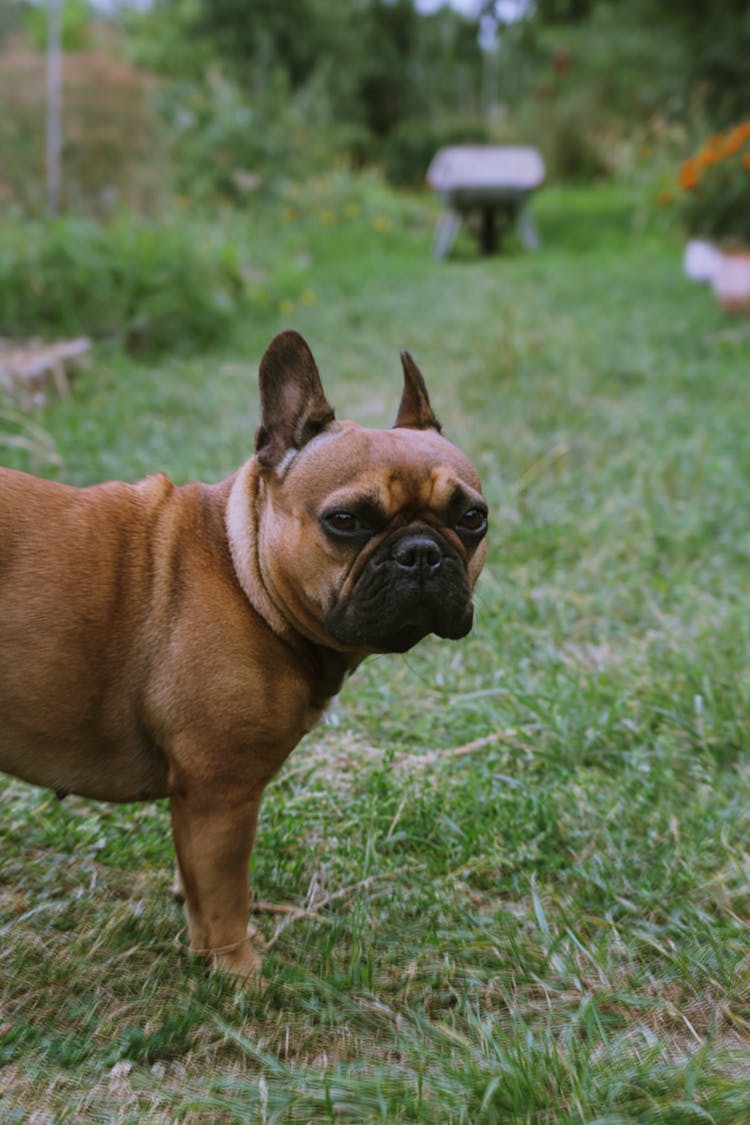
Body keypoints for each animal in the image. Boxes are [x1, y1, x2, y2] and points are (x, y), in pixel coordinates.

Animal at [0, 328, 488, 976]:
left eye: (473, 517)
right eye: (346, 520)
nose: (422, 553)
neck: (242, 569)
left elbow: (196, 878)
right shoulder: (221, 790)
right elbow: (224, 894)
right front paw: (238, 970)